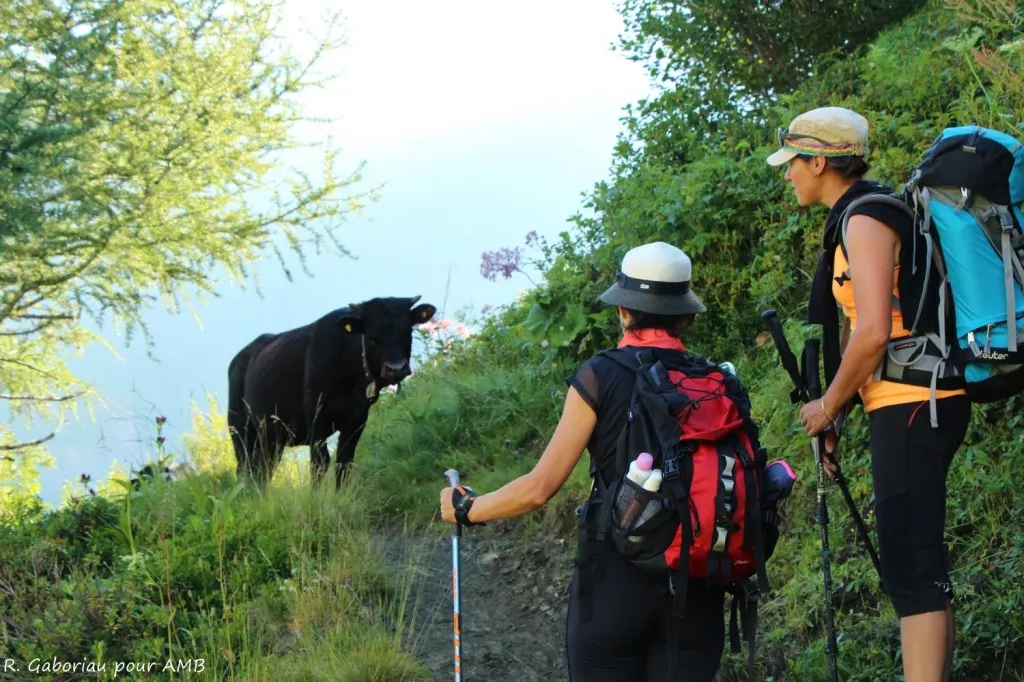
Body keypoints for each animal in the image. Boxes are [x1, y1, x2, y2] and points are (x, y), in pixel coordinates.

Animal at [226, 294, 434, 485]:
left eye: (408, 330)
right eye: (371, 337)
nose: (396, 368)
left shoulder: (358, 417)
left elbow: (344, 461)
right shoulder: (316, 413)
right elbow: (320, 462)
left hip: (270, 438)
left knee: (262, 469)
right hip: (240, 429)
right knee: (245, 469)